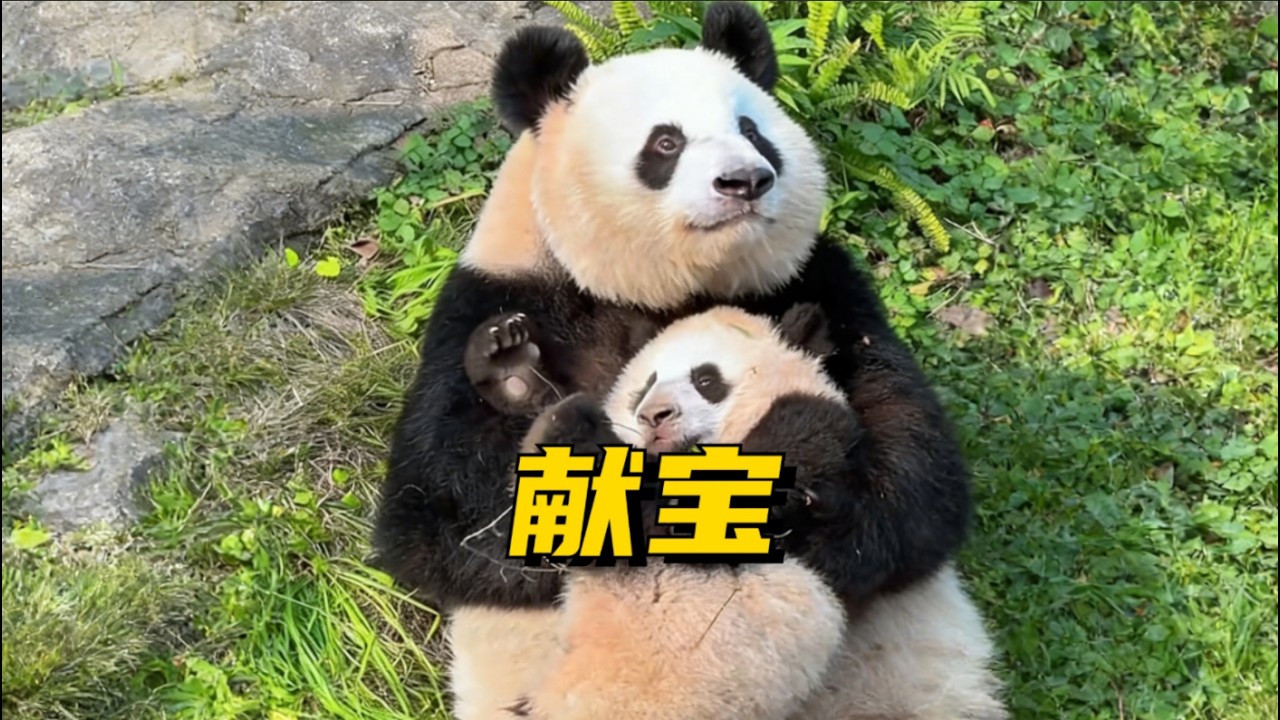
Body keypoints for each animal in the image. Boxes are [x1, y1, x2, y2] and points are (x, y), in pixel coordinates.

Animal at [372, 0, 977, 716]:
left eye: (752, 130)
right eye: (666, 143)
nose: (746, 180)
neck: (678, 287)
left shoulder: (824, 287)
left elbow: (917, 479)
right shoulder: (494, 297)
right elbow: (447, 523)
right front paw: (521, 384)